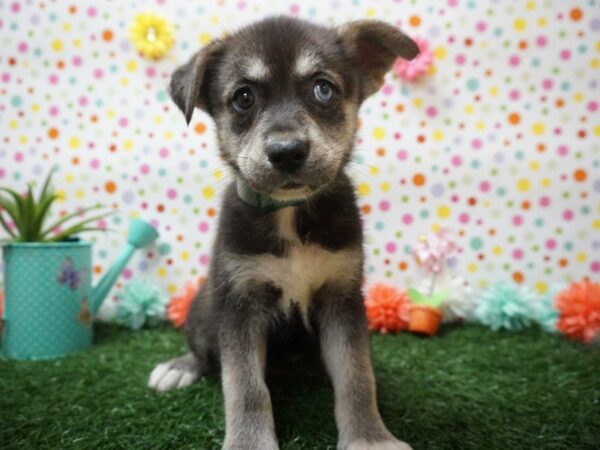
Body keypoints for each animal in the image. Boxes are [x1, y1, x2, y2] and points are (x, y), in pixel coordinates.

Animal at [147, 15, 418, 448]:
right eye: (243, 97)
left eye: (323, 88)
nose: (287, 152)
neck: (289, 214)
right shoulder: (240, 303)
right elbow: (244, 386)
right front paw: (248, 442)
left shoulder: (342, 297)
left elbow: (357, 377)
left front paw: (369, 438)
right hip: (205, 309)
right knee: (206, 355)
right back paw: (180, 367)